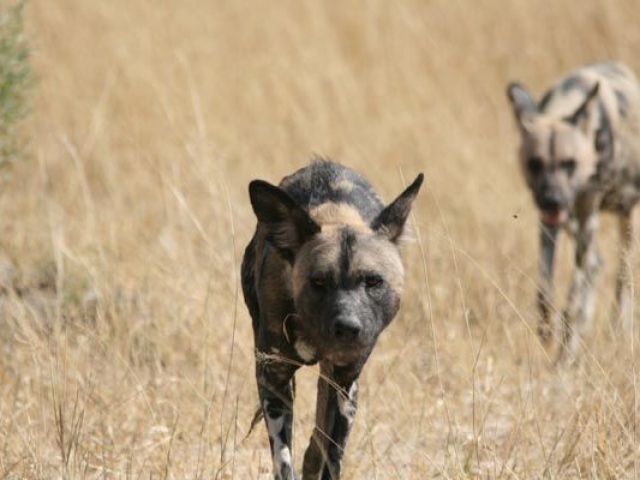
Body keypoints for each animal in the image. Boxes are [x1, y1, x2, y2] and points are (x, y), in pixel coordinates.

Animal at [240, 159, 420, 478]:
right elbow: (283, 461)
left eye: (373, 281)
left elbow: (329, 456)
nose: (347, 328)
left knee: (317, 447)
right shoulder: (274, 379)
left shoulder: (342, 381)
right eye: (318, 282)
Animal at [508, 62, 640, 364]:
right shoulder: (550, 223)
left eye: (569, 163)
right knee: (596, 264)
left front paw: (567, 344)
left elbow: (574, 296)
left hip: (623, 217)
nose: (552, 200)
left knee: (622, 278)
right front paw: (548, 331)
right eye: (535, 163)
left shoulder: (587, 212)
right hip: (572, 221)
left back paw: (618, 331)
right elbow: (545, 290)